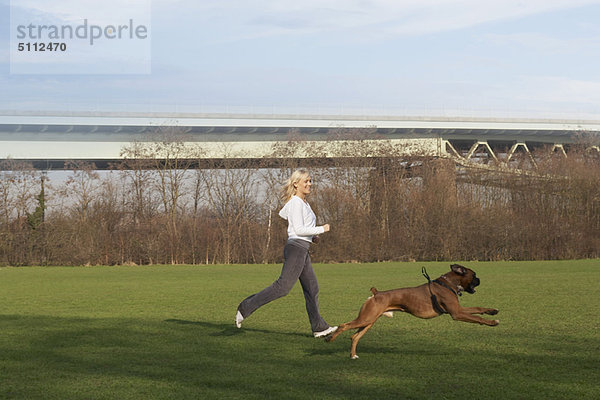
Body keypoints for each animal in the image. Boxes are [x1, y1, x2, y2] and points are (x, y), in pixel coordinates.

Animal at [326, 262, 500, 360]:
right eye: (474, 274)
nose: (479, 280)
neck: (448, 283)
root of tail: (376, 293)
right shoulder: (456, 313)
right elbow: (477, 318)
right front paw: (492, 323)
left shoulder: (459, 309)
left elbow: (478, 309)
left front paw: (493, 311)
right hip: (366, 319)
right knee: (343, 326)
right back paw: (330, 338)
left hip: (369, 321)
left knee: (354, 336)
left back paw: (353, 355)